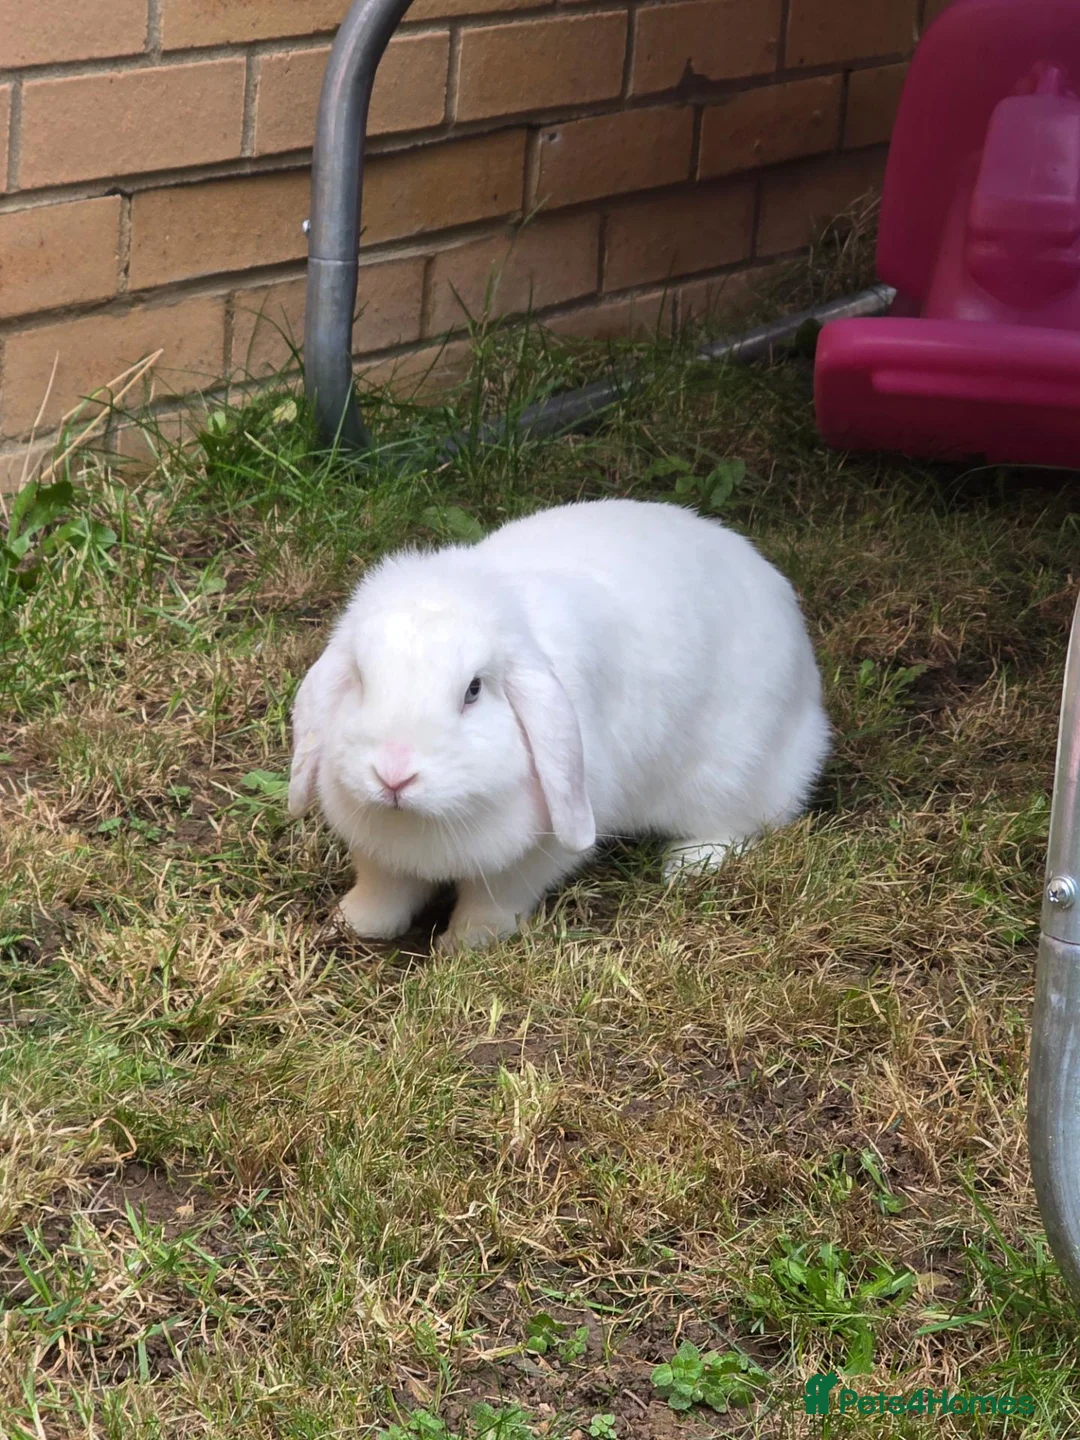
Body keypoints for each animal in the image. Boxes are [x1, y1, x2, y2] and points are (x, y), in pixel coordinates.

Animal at [288, 498, 830, 951]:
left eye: (473, 690)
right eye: (361, 680)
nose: (394, 774)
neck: (427, 820)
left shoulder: (534, 856)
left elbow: (496, 897)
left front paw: (466, 943)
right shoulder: (380, 856)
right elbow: (385, 890)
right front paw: (352, 923)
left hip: (732, 771)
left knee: (741, 822)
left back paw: (688, 864)